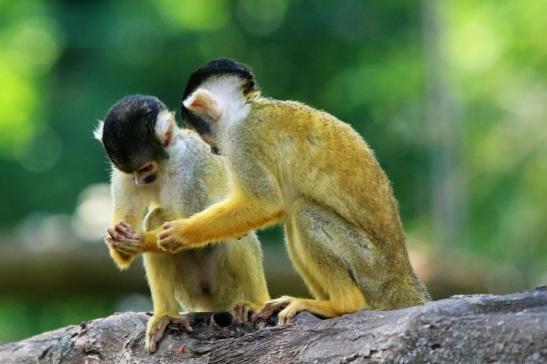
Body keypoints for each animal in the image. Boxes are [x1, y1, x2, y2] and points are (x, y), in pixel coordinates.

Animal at [97, 95, 272, 352]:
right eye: (132, 173)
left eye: (145, 168)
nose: (140, 180)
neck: (166, 165)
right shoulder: (122, 176)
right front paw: (119, 240)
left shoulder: (189, 171)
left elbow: (193, 230)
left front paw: (138, 241)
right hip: (190, 292)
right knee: (156, 217)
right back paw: (166, 315)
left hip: (227, 286)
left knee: (232, 228)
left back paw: (257, 303)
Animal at [155, 59, 432, 324]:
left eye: (200, 129)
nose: (213, 150)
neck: (243, 112)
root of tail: (402, 275)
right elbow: (275, 208)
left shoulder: (241, 141)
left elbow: (265, 203)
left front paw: (183, 232)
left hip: (369, 267)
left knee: (303, 212)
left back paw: (341, 304)